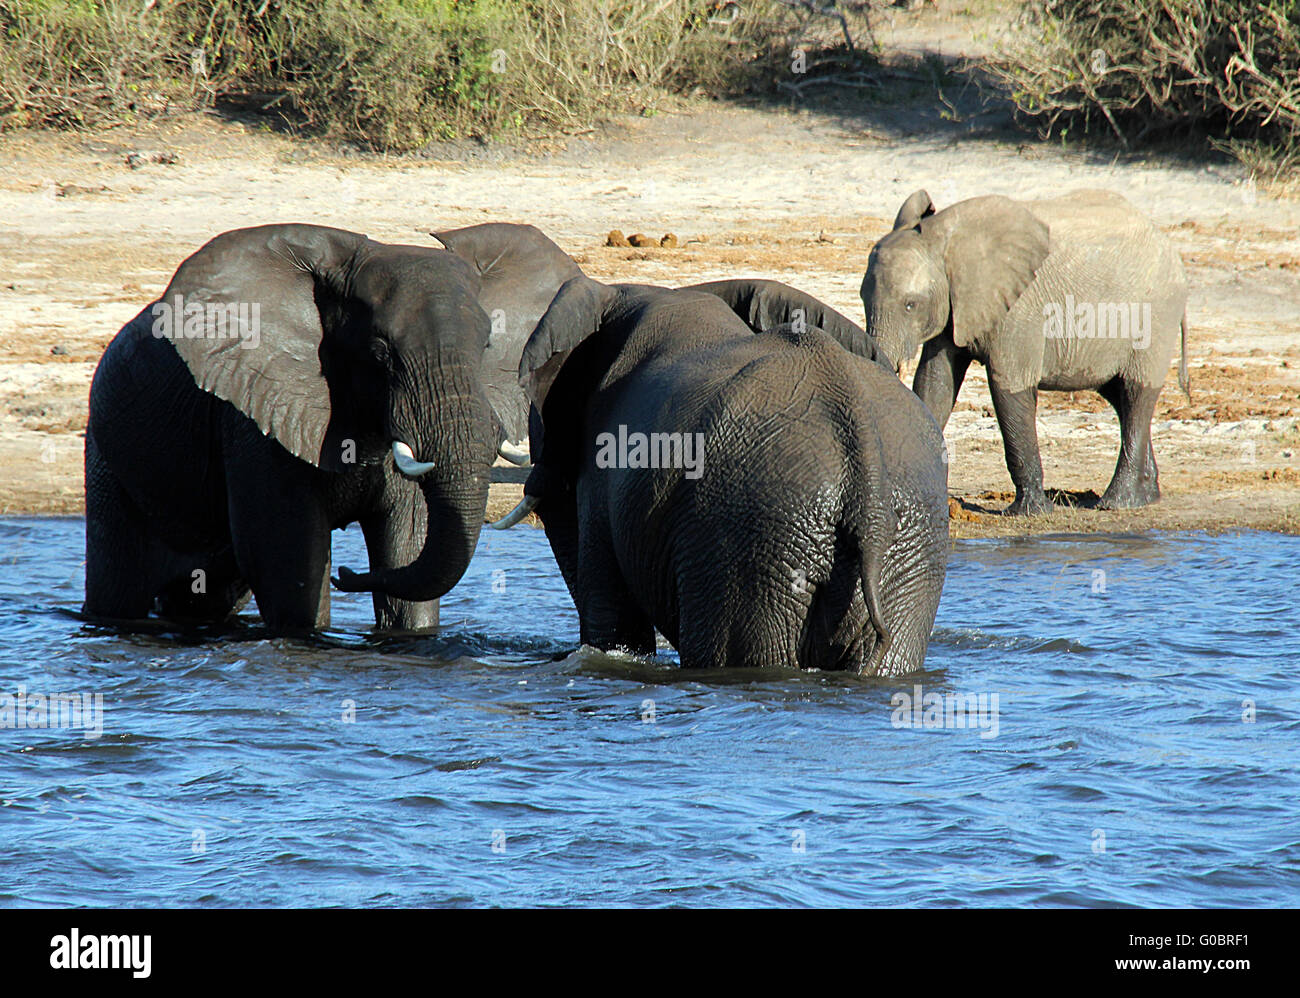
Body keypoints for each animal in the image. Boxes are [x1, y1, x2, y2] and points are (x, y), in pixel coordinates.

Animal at [83, 223, 582, 631]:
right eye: (380, 352)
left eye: (487, 345)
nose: (349, 574)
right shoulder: (254, 419)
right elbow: (286, 562)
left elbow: (406, 543)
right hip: (108, 454)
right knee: (119, 586)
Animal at [863, 188, 1190, 514]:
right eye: (862, 298)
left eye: (910, 305)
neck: (942, 239)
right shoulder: (954, 306)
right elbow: (934, 384)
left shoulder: (1018, 309)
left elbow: (1009, 388)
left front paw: (1028, 512)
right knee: (1118, 395)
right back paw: (1145, 497)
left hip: (1156, 316)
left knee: (1136, 394)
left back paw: (1116, 503)